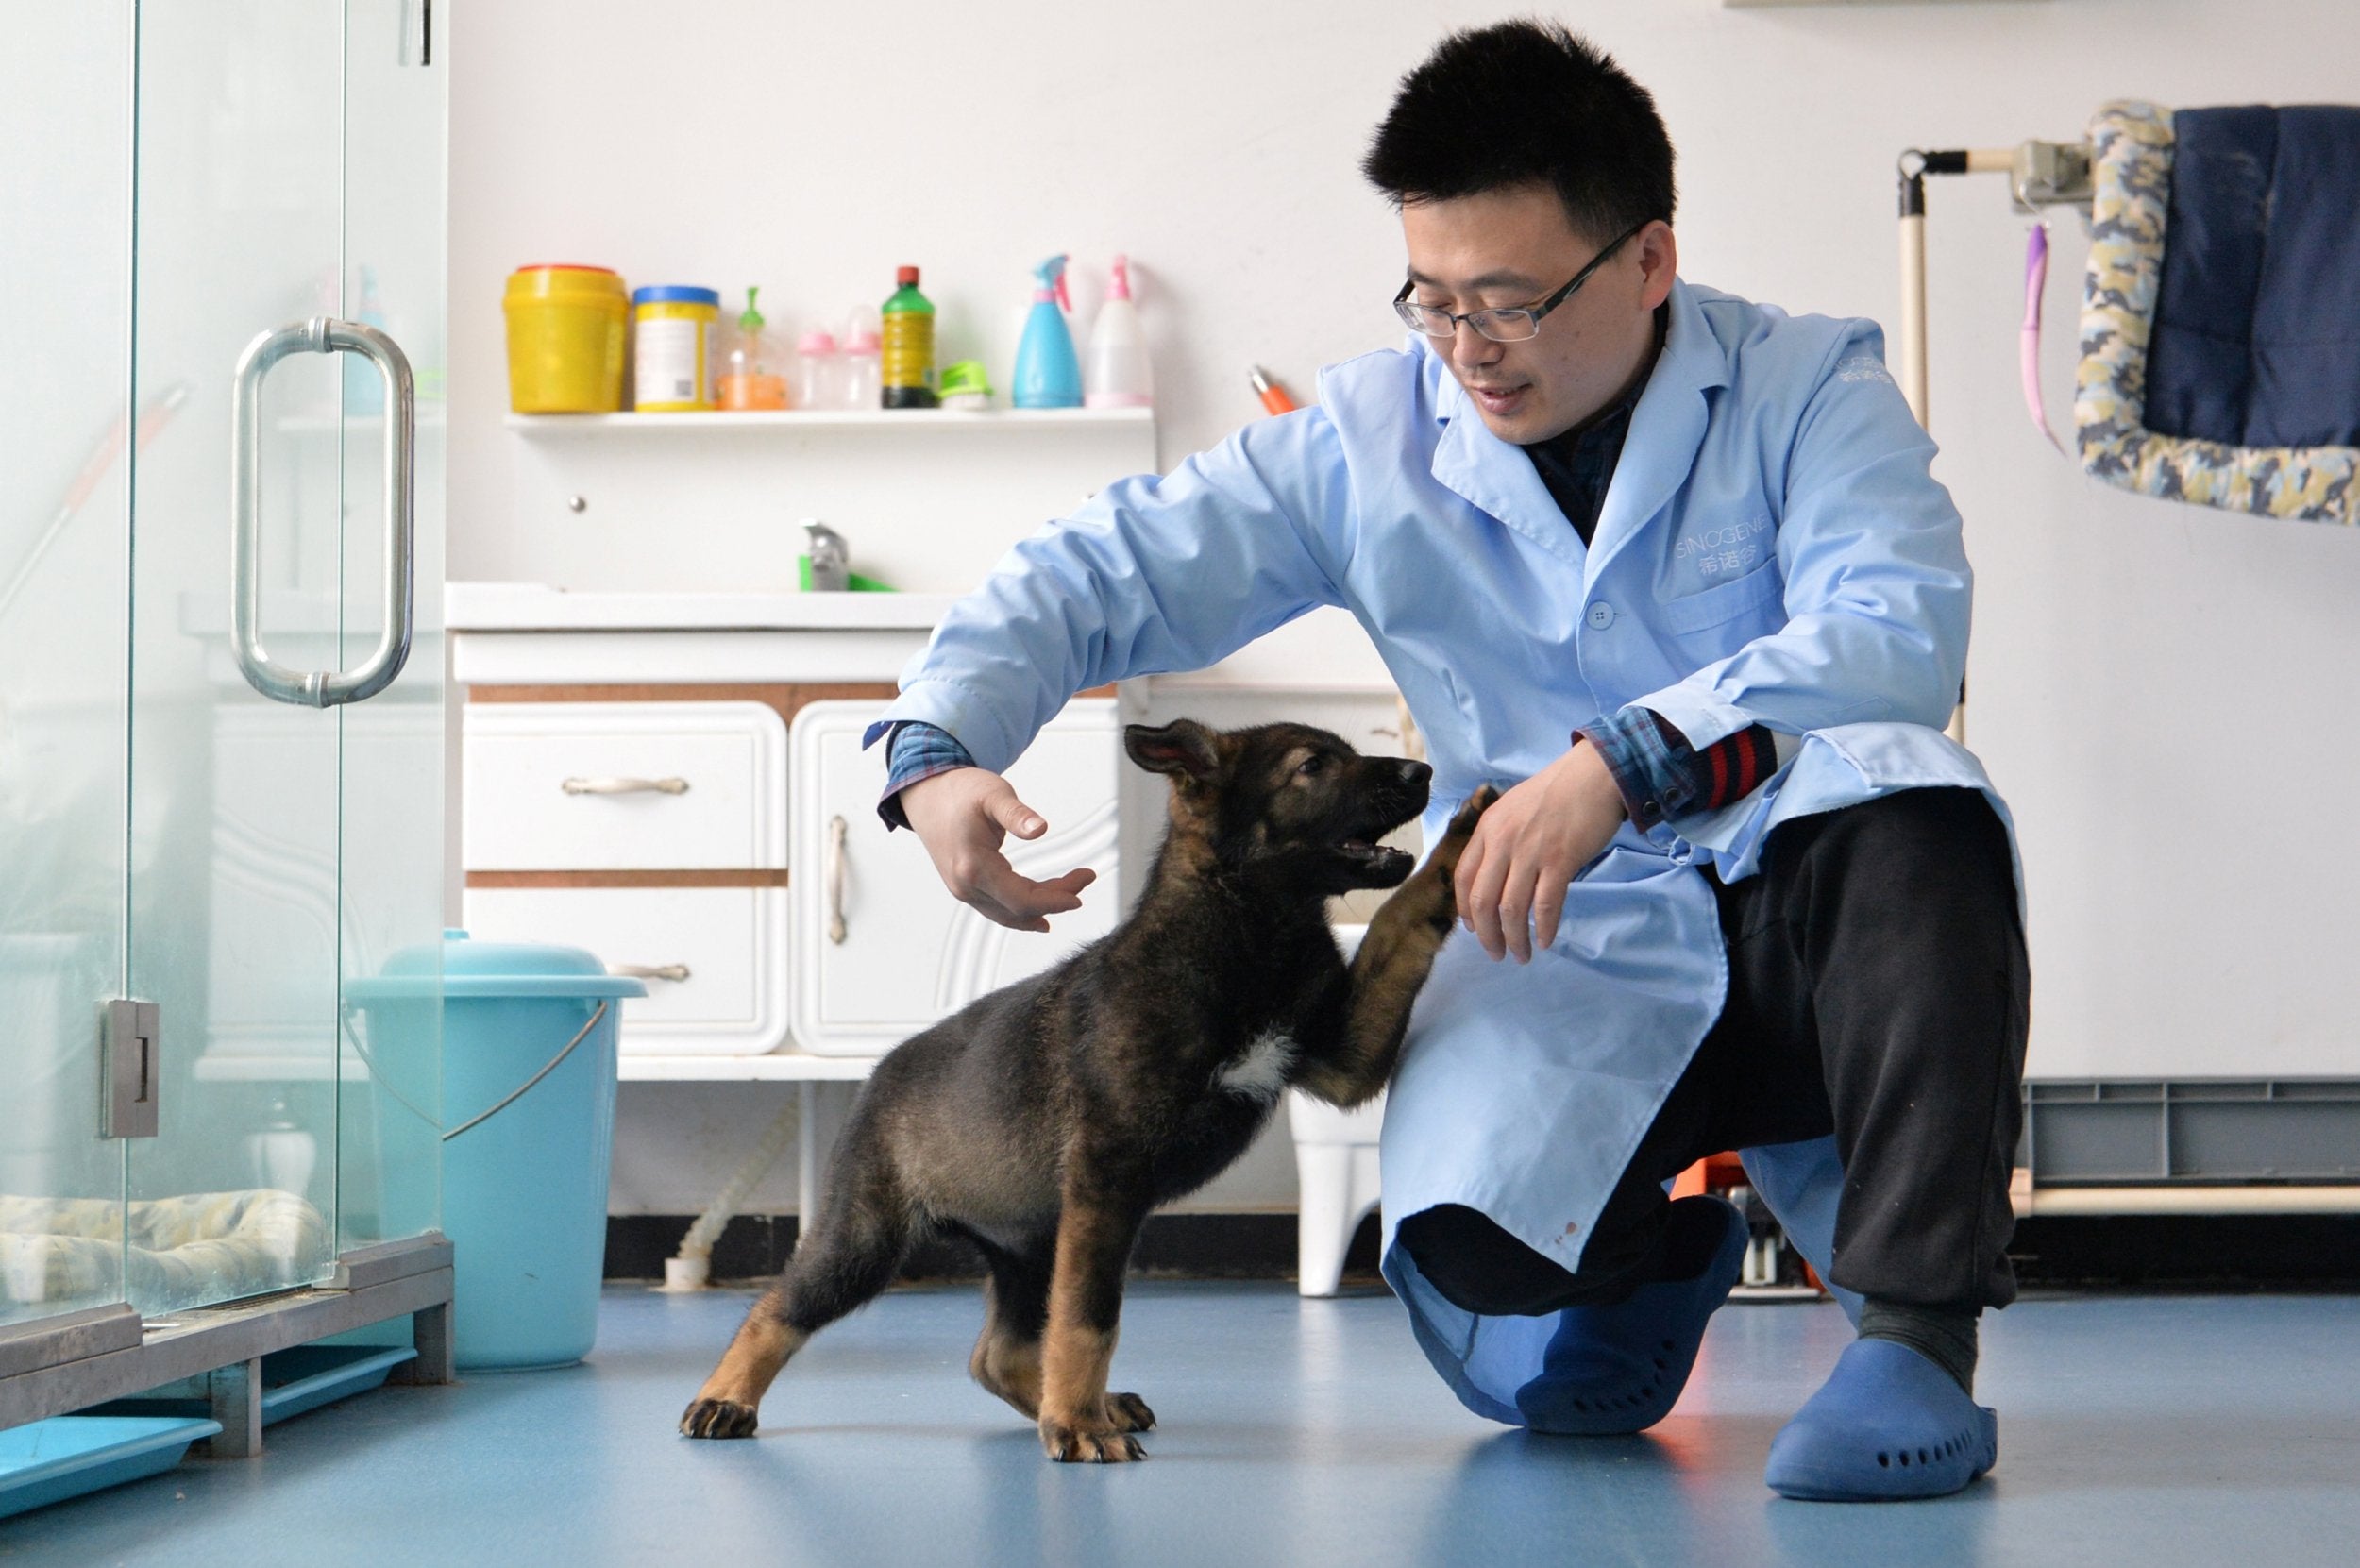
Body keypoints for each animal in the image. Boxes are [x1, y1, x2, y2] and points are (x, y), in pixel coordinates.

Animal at [684, 717, 1492, 1454]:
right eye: (1313, 765)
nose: (1422, 772)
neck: (1248, 924)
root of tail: (878, 1073)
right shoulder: (1109, 1175)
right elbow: (1089, 1317)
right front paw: (1075, 1425)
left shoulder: (1344, 1059)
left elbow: (1403, 915)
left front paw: (1463, 841)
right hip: (870, 1235)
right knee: (779, 1305)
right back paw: (724, 1399)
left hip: (1028, 1243)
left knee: (995, 1354)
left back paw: (1089, 1403)